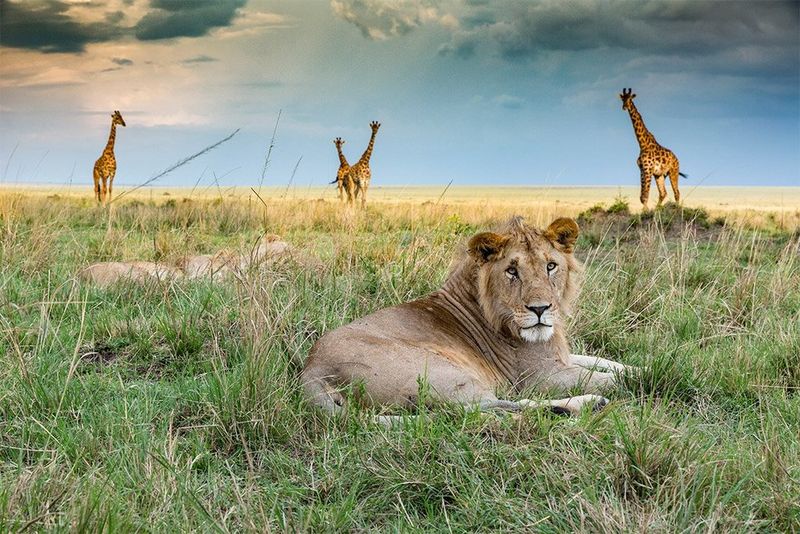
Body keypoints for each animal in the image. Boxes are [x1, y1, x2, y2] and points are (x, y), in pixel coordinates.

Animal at [302, 216, 637, 422]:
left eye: (551, 266)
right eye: (512, 271)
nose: (540, 309)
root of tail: (310, 370)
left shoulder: (562, 358)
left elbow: (607, 362)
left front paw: (638, 366)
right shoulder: (541, 377)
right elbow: (613, 378)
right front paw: (646, 376)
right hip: (449, 374)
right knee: (485, 410)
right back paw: (584, 404)